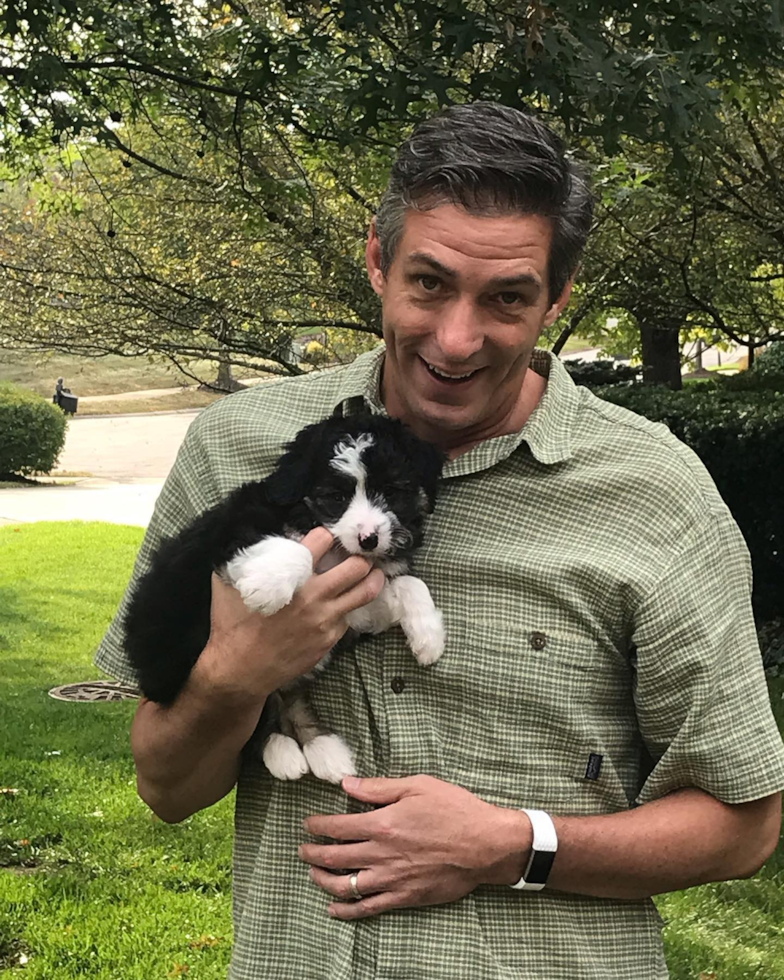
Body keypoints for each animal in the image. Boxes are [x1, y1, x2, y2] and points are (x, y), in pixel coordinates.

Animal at [121, 412, 440, 780]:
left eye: (391, 491)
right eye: (336, 497)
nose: (369, 538)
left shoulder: (355, 611)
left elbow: (409, 584)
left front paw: (429, 638)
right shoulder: (231, 535)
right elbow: (292, 549)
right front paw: (267, 586)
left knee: (286, 699)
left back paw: (325, 751)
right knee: (249, 710)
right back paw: (282, 751)